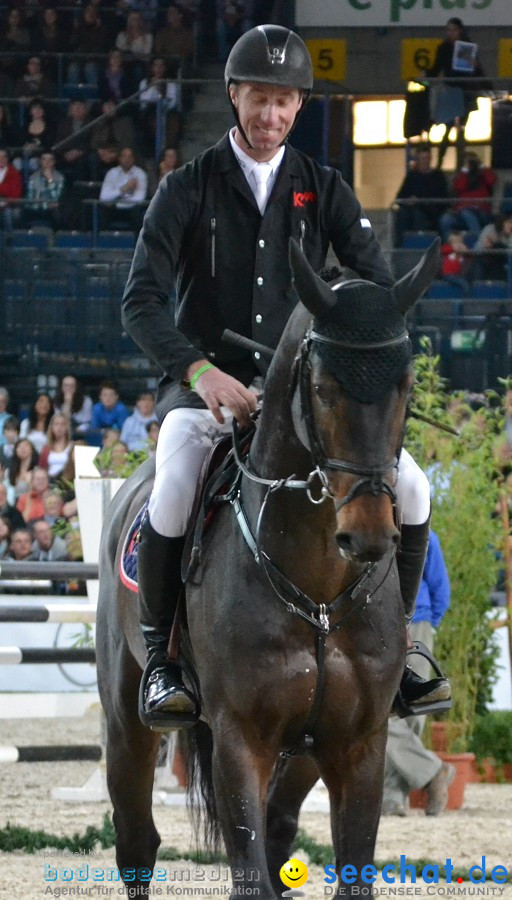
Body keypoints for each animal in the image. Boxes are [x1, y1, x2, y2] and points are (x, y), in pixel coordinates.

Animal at [96, 239, 440, 900]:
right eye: (324, 387)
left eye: (406, 384)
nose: (369, 534)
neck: (319, 589)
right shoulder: (240, 740)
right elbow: (249, 874)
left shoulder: (358, 744)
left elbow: (348, 873)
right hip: (127, 723)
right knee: (137, 842)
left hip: (302, 752)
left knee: (280, 830)